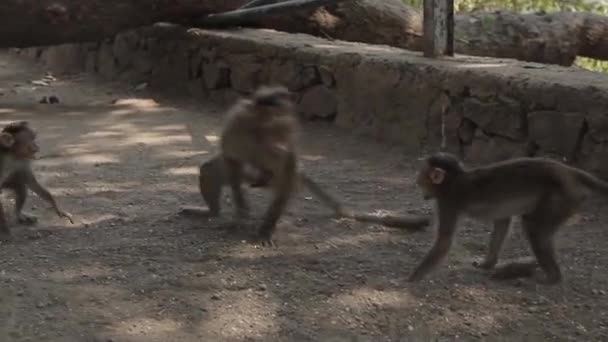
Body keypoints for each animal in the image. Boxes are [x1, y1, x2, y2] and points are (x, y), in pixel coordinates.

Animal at [406, 152, 608, 284]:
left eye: (421, 181)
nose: (422, 192)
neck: (455, 180)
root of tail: (568, 171)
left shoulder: (448, 202)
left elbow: (444, 243)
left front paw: (413, 277)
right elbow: (502, 222)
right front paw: (487, 264)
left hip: (561, 199)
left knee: (534, 229)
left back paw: (553, 278)